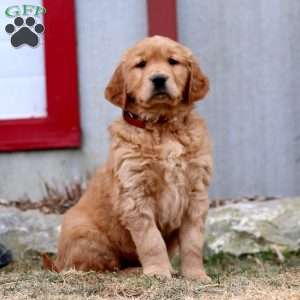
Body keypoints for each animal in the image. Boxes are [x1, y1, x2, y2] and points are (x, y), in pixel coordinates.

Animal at [50, 36, 212, 282]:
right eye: (141, 64)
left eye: (172, 61)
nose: (158, 78)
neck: (162, 126)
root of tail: (57, 261)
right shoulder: (135, 193)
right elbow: (151, 241)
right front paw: (158, 272)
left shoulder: (196, 194)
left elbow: (193, 242)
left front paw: (196, 275)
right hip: (87, 236)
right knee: (107, 266)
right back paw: (137, 270)